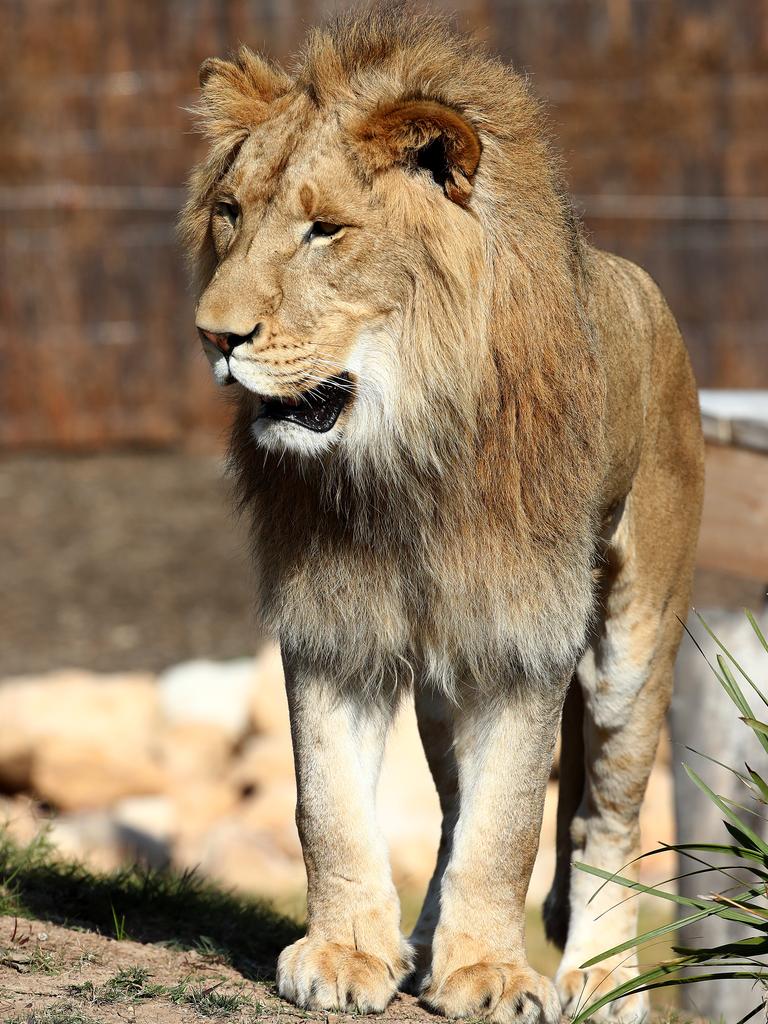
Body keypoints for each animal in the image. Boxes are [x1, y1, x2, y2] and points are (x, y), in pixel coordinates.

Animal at [179, 9, 704, 1024]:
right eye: (230, 212)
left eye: (326, 230)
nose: (214, 336)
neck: (401, 453)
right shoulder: (334, 621)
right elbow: (330, 805)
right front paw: (348, 954)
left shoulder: (525, 633)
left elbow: (510, 828)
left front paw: (492, 975)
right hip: (440, 682)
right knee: (456, 808)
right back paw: (423, 945)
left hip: (633, 645)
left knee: (603, 816)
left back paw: (604, 976)